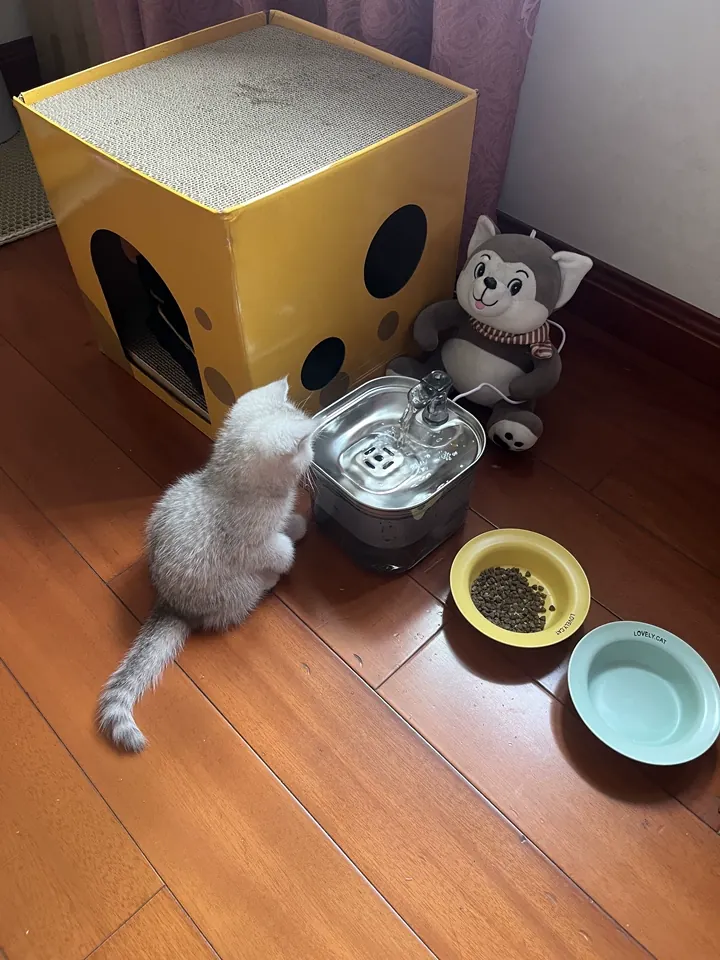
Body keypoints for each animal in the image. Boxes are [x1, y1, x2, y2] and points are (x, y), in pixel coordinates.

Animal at [97, 378, 314, 752]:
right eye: (307, 443)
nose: (314, 454)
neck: (225, 483)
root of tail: (171, 603)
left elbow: (285, 526)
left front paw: (295, 524)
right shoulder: (251, 546)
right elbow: (278, 549)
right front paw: (287, 551)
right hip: (234, 591)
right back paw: (268, 580)